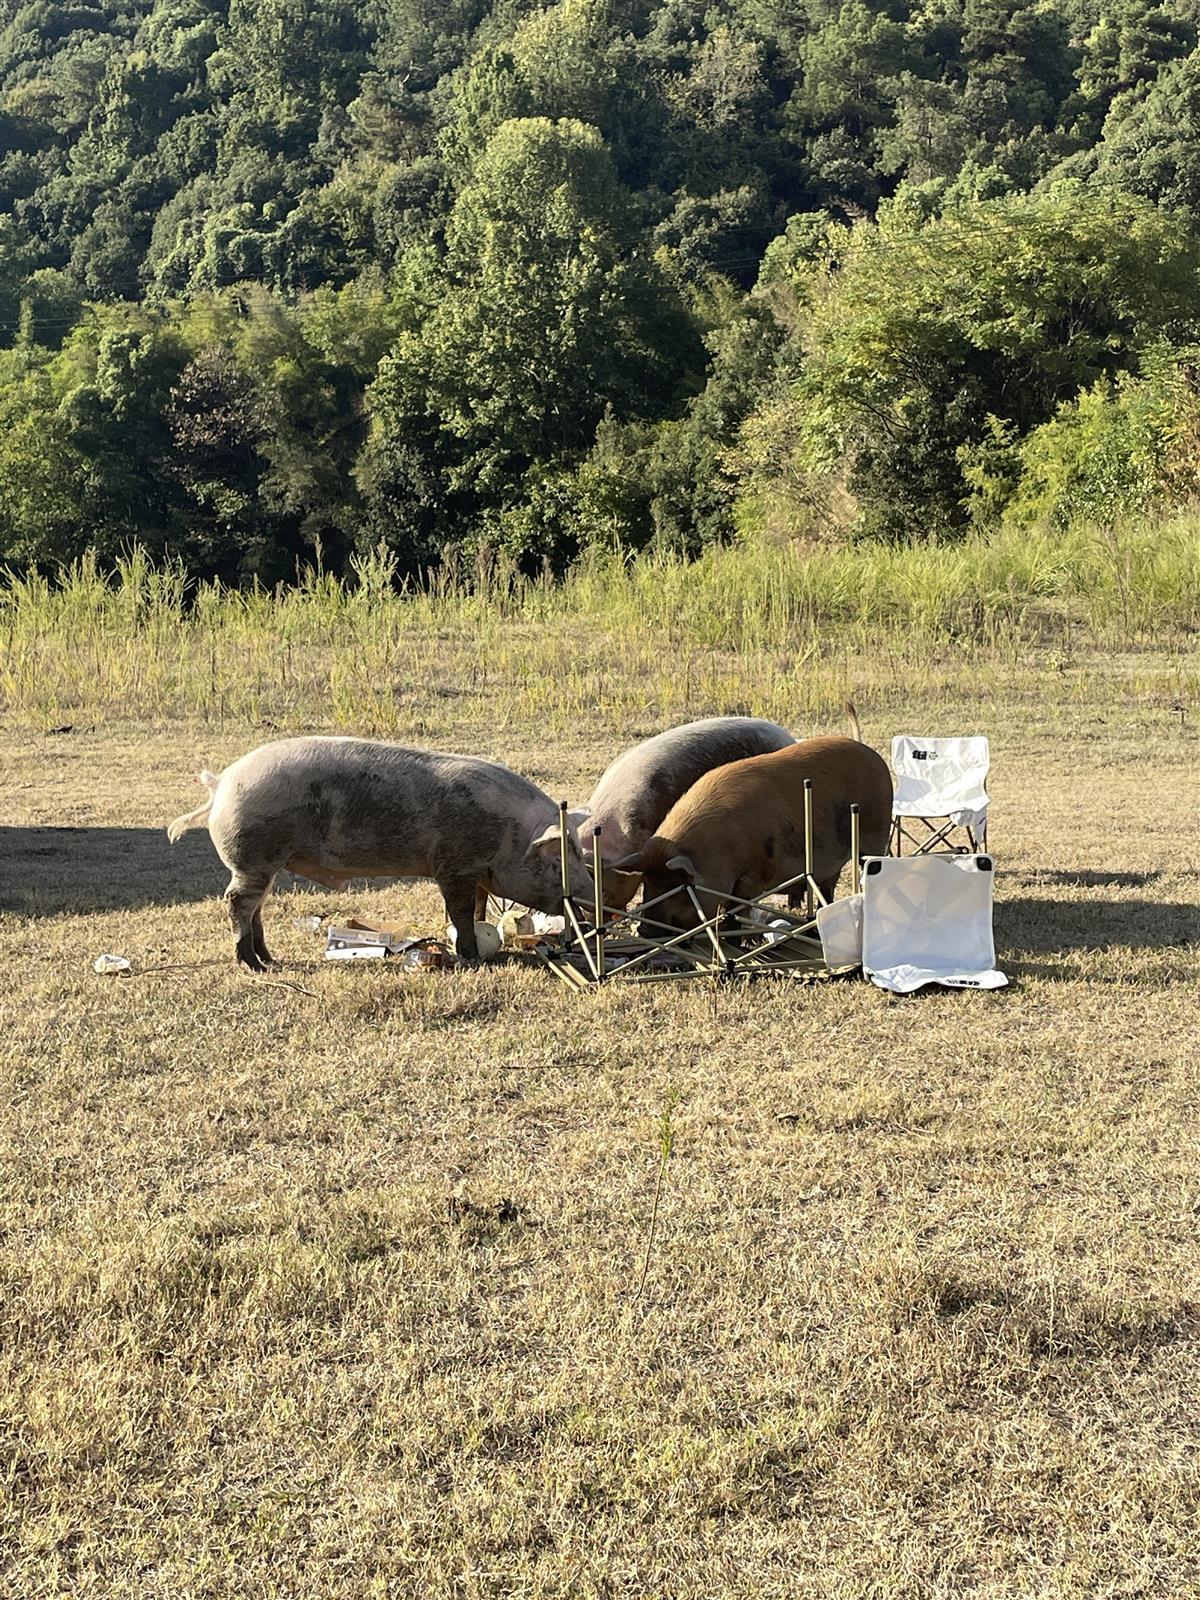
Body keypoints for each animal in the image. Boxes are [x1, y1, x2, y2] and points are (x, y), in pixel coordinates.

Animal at [167, 732, 595, 960]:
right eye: (559, 860)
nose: (591, 900)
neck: (510, 835)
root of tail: (221, 783)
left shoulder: (473, 871)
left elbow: (474, 908)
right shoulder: (454, 865)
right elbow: (458, 912)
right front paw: (471, 957)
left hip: (263, 863)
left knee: (255, 907)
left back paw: (269, 960)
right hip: (252, 857)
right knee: (237, 903)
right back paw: (252, 964)